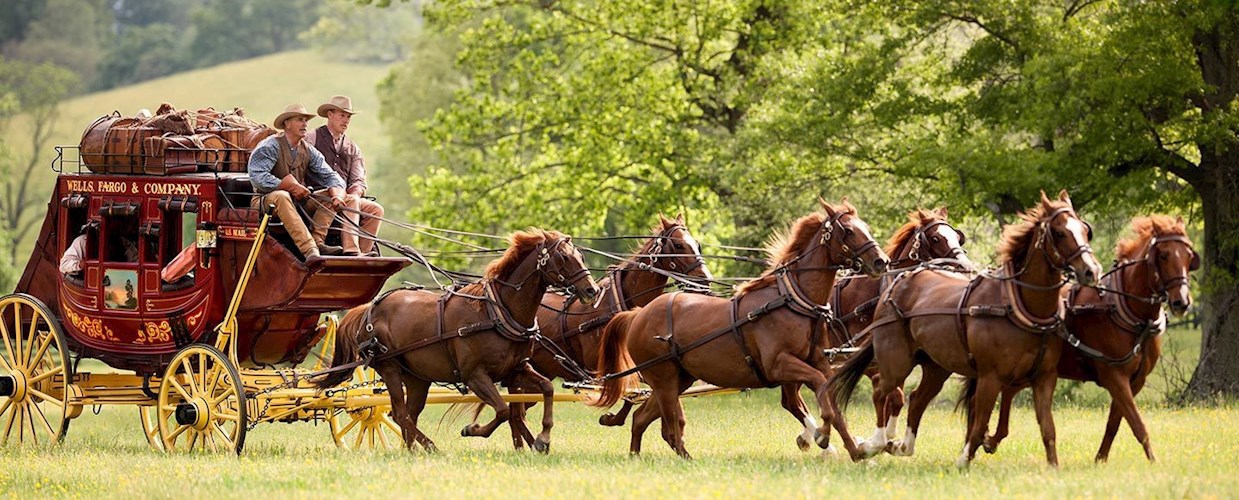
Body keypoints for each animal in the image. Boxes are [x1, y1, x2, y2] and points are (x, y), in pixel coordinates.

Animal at [312, 230, 597, 452]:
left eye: (580, 256)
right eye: (563, 257)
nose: (592, 290)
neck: (497, 311)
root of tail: (368, 309)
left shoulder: (517, 368)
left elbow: (546, 389)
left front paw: (543, 438)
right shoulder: (475, 376)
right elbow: (504, 411)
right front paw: (473, 429)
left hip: (417, 377)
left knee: (407, 414)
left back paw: (411, 450)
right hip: (389, 367)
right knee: (401, 413)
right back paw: (429, 446)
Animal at [592, 201, 892, 457]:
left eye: (865, 226)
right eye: (849, 230)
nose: (881, 261)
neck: (793, 301)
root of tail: (638, 313)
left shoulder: (818, 360)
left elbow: (833, 405)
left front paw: (856, 451)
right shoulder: (780, 365)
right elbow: (821, 394)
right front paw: (822, 436)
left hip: (678, 379)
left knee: (642, 419)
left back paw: (640, 456)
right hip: (664, 379)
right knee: (670, 426)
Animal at [778, 205, 971, 450]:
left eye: (957, 237)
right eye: (936, 238)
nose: (966, 267)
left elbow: (895, 399)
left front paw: (885, 438)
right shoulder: (870, 363)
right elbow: (893, 396)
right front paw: (881, 440)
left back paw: (810, 437)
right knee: (791, 401)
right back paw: (823, 442)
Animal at [827, 189, 1100, 467]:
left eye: (1085, 230)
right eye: (935, 238)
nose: (1092, 270)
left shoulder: (1037, 377)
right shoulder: (987, 376)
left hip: (934, 366)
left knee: (913, 399)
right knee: (880, 393)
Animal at [976, 215, 1199, 460]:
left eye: (1189, 256)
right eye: (1164, 255)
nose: (1182, 302)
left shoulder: (1135, 381)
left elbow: (1115, 423)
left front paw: (1100, 459)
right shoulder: (1114, 376)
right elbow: (1137, 424)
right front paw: (1153, 462)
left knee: (1008, 391)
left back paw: (992, 438)